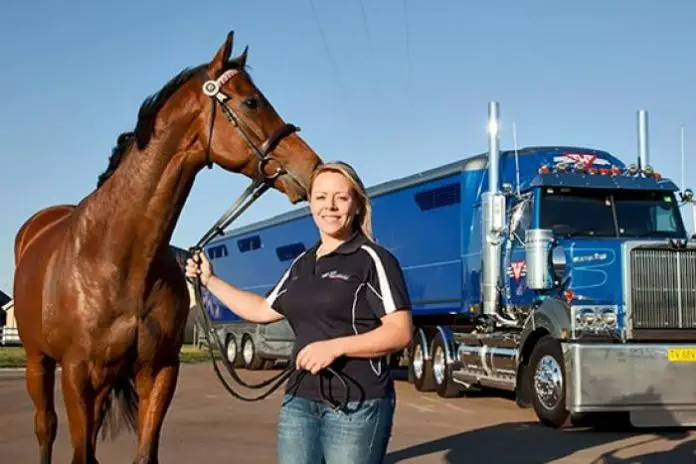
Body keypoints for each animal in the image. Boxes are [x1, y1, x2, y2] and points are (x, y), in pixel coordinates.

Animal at [12, 31, 323, 464]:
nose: (311, 166)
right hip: (37, 362)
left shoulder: (159, 371)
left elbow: (143, 453)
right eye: (251, 102)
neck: (116, 259)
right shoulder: (75, 373)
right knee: (46, 428)